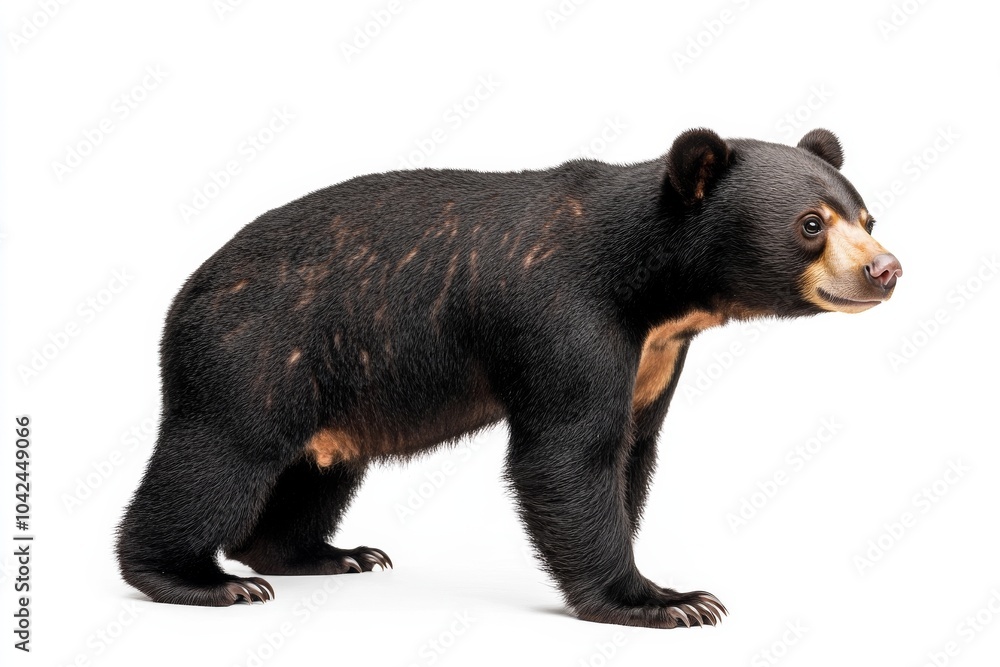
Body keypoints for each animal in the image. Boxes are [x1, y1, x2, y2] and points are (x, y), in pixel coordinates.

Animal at [116, 127, 902, 628]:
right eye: (810, 223)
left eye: (866, 216)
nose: (885, 268)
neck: (650, 287)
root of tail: (186, 291)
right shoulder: (567, 318)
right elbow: (568, 453)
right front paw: (662, 599)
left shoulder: (655, 354)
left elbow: (631, 450)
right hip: (258, 349)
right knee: (219, 459)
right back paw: (198, 578)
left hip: (335, 385)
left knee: (316, 469)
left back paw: (328, 554)